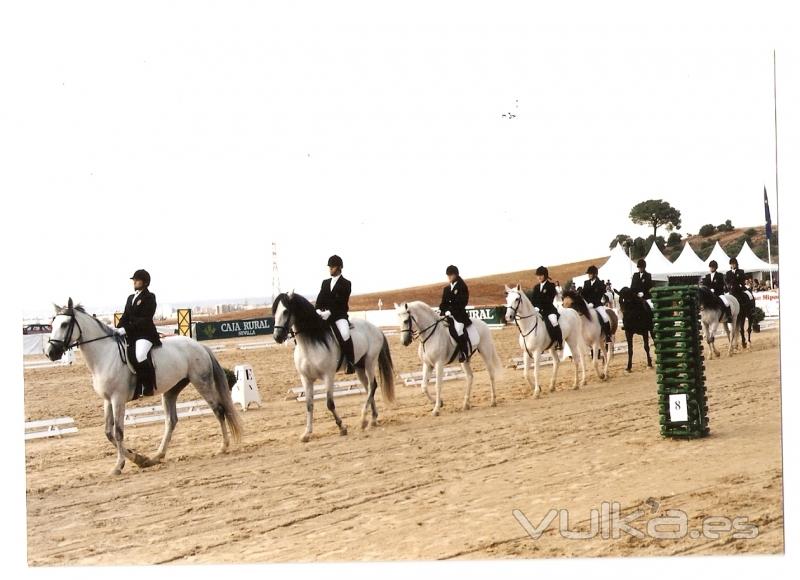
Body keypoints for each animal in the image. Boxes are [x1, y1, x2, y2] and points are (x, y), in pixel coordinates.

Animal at [43, 300, 242, 476]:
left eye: (65, 324)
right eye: (52, 324)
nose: (50, 353)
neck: (104, 356)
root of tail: (199, 345)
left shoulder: (117, 399)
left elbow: (118, 432)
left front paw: (119, 466)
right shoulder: (107, 400)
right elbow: (108, 432)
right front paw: (139, 459)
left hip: (201, 382)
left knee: (218, 410)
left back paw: (222, 447)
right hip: (171, 389)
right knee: (171, 420)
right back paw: (157, 456)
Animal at [274, 292, 396, 442]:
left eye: (285, 311)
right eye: (274, 312)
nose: (277, 337)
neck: (309, 344)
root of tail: (376, 329)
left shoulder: (328, 375)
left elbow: (330, 403)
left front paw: (342, 427)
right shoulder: (306, 379)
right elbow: (309, 405)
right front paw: (307, 433)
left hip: (370, 362)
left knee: (372, 386)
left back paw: (363, 420)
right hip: (359, 367)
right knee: (369, 388)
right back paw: (372, 419)